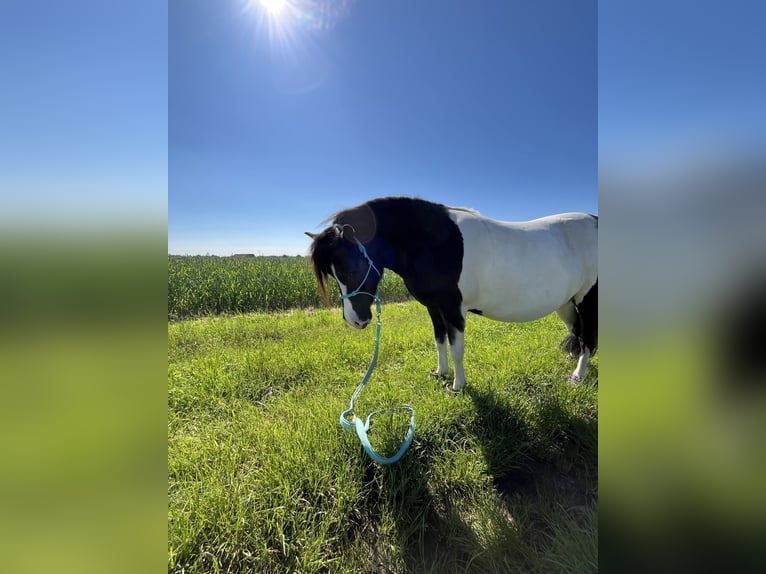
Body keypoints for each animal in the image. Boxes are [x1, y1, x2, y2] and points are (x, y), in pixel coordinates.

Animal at [308, 197, 600, 392]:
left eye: (352, 267)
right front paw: (440, 373)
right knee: (577, 331)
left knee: (587, 338)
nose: (355, 320)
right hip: (565, 304)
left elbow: (457, 348)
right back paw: (572, 360)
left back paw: (578, 375)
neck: (433, 242)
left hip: (587, 301)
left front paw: (458, 385)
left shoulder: (453, 308)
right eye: (333, 273)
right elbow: (440, 342)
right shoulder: (434, 308)